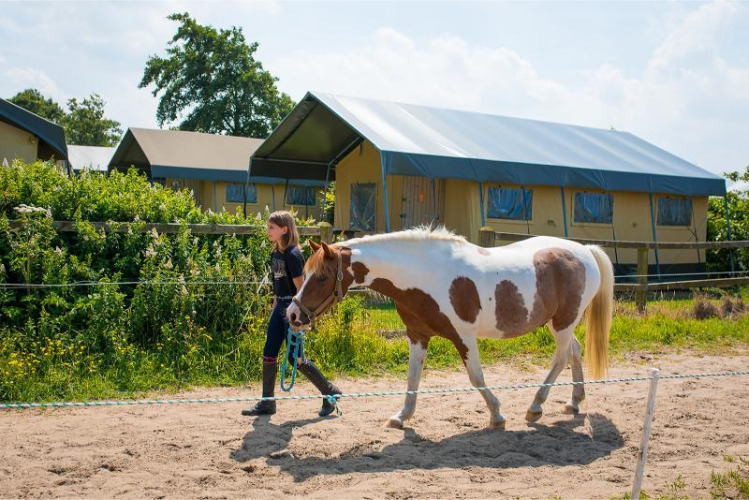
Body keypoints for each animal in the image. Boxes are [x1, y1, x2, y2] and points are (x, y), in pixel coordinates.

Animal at [286, 227, 614, 429]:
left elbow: (476, 377)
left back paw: (535, 407)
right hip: (560, 323)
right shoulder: (418, 335)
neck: (425, 274)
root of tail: (584, 251)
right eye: (306, 272)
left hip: (563, 322)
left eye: (321, 277)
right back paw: (573, 402)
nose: (292, 315)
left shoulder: (463, 336)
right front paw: (401, 416)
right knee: (574, 351)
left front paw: (497, 415)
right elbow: (412, 378)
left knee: (561, 357)